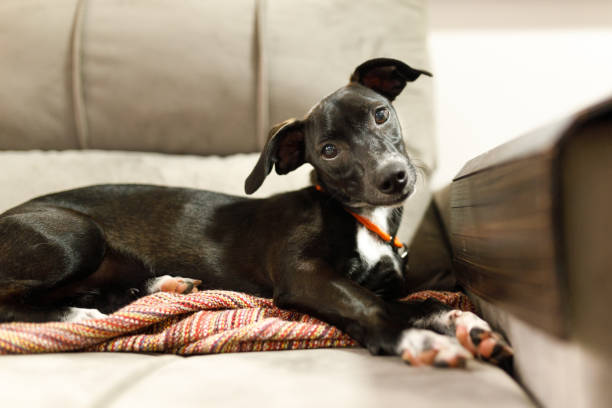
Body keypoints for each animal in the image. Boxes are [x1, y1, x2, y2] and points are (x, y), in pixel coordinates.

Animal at [0, 58, 512, 366]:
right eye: (328, 151)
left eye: (380, 114)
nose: (395, 178)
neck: (361, 218)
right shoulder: (304, 276)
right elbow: (366, 304)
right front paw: (417, 340)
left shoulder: (378, 285)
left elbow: (422, 302)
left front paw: (467, 325)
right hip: (77, 236)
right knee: (15, 299)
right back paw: (78, 316)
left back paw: (158, 287)